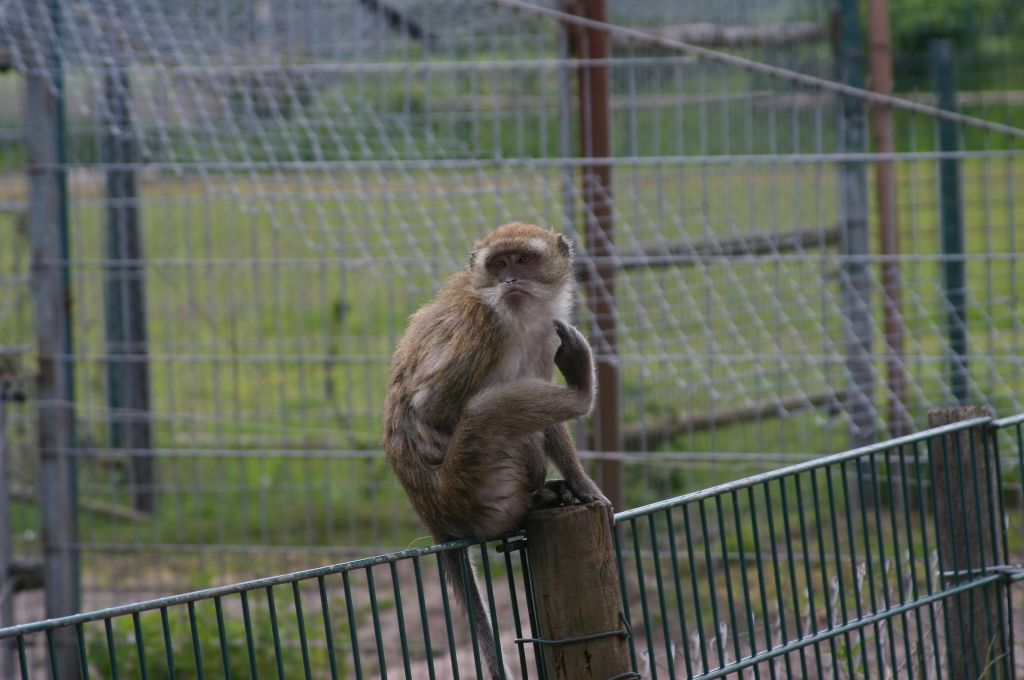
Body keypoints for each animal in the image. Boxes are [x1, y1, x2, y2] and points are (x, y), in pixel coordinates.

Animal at [383, 222, 610, 679]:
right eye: (499, 263)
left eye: (523, 260)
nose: (511, 281)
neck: (516, 318)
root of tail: (433, 515)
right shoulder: (483, 331)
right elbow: (431, 407)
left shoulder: (543, 336)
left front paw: (583, 486)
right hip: (474, 482)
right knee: (484, 413)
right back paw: (580, 393)